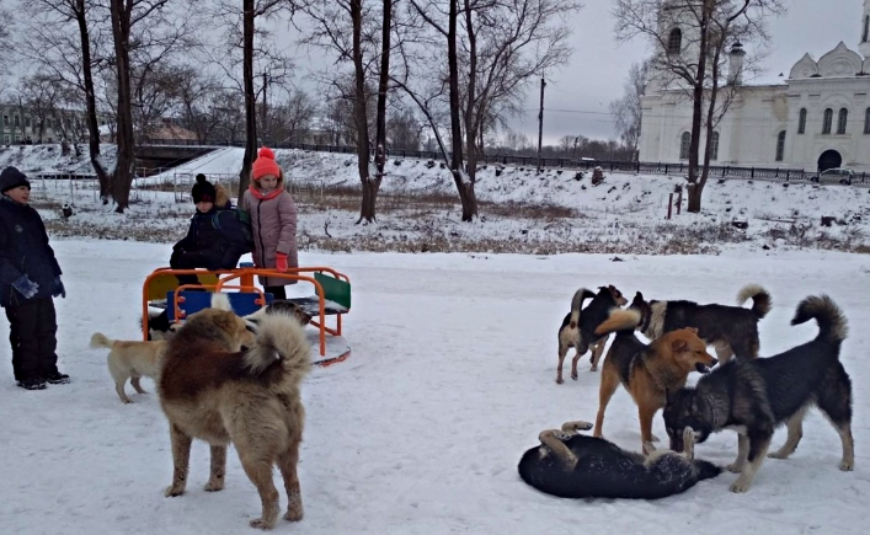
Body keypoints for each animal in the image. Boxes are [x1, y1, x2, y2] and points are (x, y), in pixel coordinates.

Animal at [158, 294, 312, 532]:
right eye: (245, 328)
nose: (254, 337)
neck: (195, 340)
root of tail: (269, 373)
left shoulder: (177, 430)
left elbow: (180, 466)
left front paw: (175, 492)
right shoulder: (217, 439)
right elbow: (217, 465)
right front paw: (214, 486)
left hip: (251, 452)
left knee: (271, 494)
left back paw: (264, 524)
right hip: (288, 449)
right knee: (293, 485)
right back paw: (293, 516)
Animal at [592, 308, 724, 454]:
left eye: (705, 349)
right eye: (698, 352)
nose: (715, 361)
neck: (667, 375)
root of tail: (624, 336)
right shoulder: (646, 409)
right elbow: (645, 437)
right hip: (608, 388)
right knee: (600, 413)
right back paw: (597, 433)